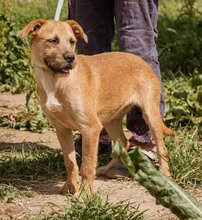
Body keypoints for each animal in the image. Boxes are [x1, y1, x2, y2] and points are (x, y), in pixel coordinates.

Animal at [20, 19, 175, 194]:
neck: (57, 80)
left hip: (150, 114)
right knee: (123, 143)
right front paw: (70, 187)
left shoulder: (91, 127)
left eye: (72, 41)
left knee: (161, 148)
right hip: (111, 120)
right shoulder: (62, 129)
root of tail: (143, 61)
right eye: (53, 40)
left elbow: (87, 165)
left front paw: (85, 194)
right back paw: (107, 169)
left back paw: (166, 176)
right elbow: (70, 162)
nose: (71, 58)